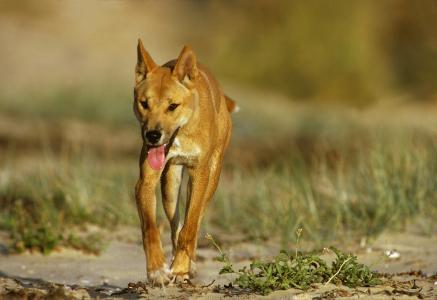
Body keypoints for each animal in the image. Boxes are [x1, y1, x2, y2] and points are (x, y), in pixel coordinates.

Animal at [133, 38, 237, 284]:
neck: (183, 131)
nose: (153, 135)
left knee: (194, 222)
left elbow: (190, 227)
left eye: (173, 105)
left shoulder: (200, 175)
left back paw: (188, 264)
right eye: (144, 103)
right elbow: (151, 228)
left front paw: (181, 267)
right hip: (170, 185)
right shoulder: (146, 181)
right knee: (174, 225)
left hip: (211, 177)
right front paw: (156, 269)